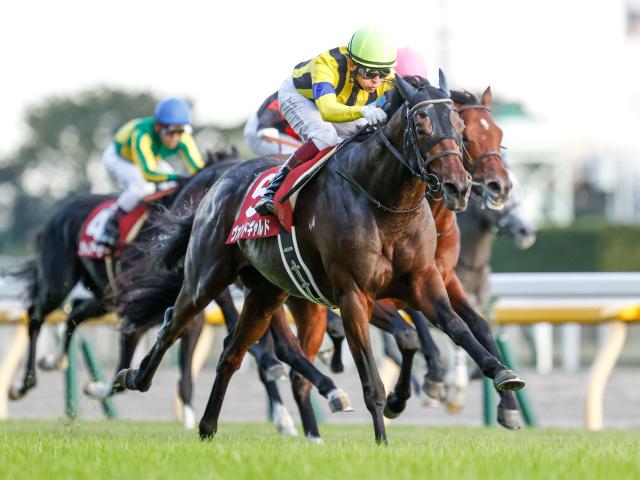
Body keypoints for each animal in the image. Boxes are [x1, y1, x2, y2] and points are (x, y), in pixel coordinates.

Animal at [115, 73, 524, 443]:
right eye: (422, 125)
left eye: (460, 127)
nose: (466, 186)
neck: (387, 204)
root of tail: (217, 181)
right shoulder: (356, 295)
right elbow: (383, 366)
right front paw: (386, 430)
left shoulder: (426, 281)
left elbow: (462, 328)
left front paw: (502, 379)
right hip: (208, 277)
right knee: (177, 323)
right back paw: (134, 378)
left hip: (267, 294)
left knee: (233, 353)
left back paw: (210, 427)